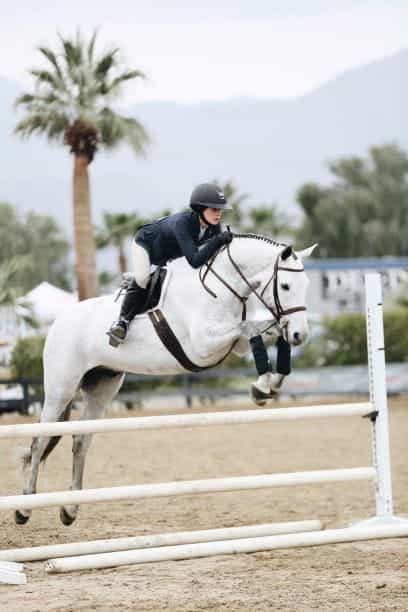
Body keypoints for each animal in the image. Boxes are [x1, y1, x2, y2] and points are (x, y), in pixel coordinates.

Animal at [15, 235, 318, 524]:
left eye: (306, 285)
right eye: (286, 286)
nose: (301, 335)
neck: (221, 287)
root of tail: (59, 322)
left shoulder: (234, 346)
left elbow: (262, 332)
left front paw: (268, 384)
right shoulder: (203, 346)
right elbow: (252, 329)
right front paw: (264, 385)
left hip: (102, 387)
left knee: (80, 440)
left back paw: (70, 509)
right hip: (61, 389)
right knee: (39, 441)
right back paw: (24, 508)